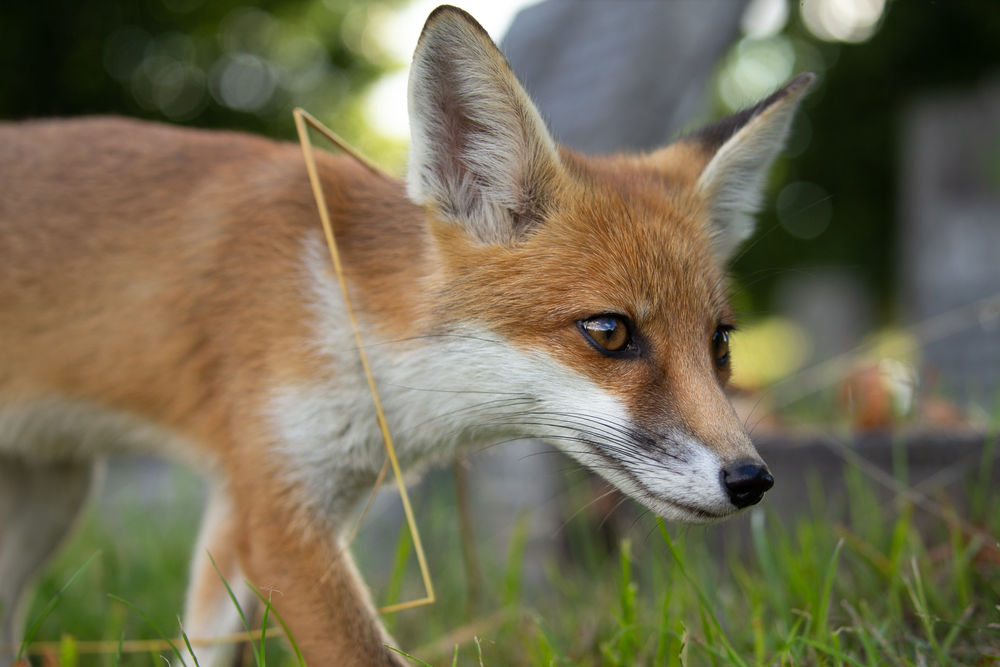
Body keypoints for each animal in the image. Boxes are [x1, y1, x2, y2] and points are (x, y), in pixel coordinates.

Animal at [0, 5, 812, 667]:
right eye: (610, 332)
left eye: (721, 343)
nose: (753, 480)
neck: (348, 312)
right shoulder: (279, 512)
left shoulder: (248, 508)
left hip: (48, 508)